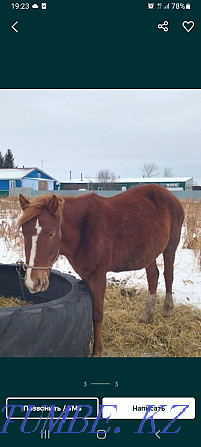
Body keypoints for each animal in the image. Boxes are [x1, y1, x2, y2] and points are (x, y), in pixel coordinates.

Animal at [18, 185, 185, 356]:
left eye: (51, 234)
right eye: (24, 232)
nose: (33, 282)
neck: (83, 229)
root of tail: (169, 195)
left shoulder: (98, 276)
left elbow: (97, 315)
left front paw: (97, 350)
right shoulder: (85, 276)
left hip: (170, 247)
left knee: (168, 275)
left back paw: (167, 309)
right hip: (148, 253)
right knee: (153, 276)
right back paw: (147, 313)